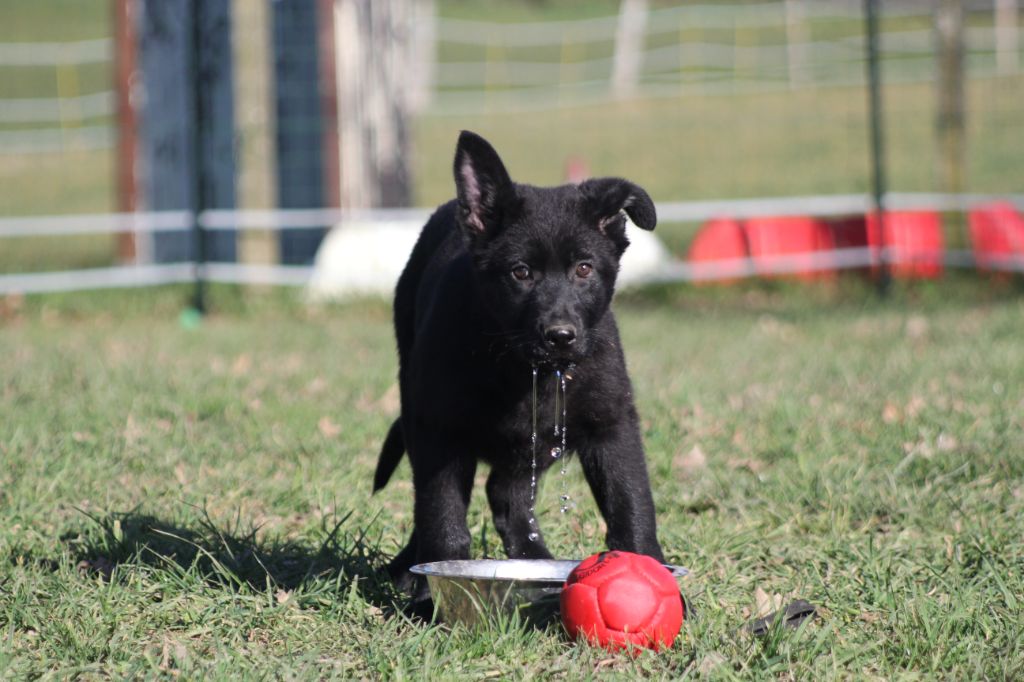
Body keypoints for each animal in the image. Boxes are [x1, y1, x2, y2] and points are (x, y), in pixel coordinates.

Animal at [374, 133, 663, 606]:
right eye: (521, 272)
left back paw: (535, 561)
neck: (524, 369)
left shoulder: (610, 424)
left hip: (537, 441)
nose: (560, 336)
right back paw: (409, 570)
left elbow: (632, 507)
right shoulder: (439, 431)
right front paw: (430, 597)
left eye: (584, 268)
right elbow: (441, 518)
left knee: (503, 492)